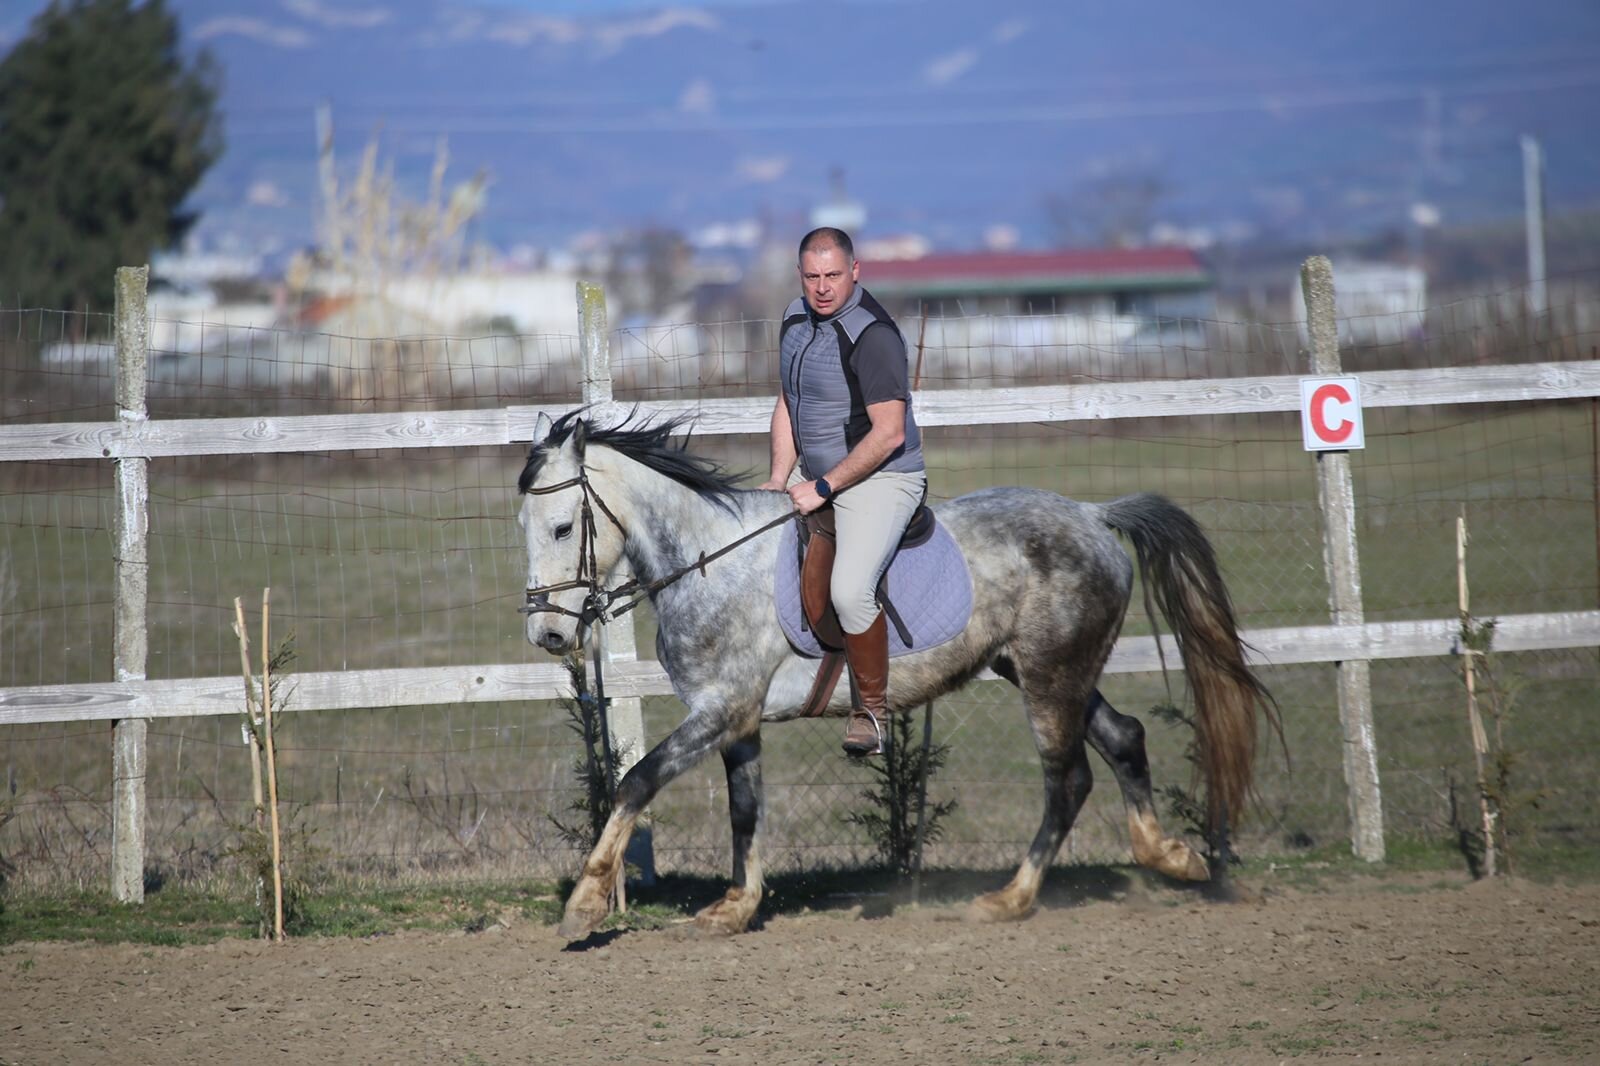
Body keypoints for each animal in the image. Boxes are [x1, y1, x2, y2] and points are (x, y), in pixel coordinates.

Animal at [518, 409, 1280, 934]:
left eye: (561, 527)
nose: (548, 633)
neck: (711, 561)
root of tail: (1093, 515)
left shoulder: (720, 712)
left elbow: (636, 781)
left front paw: (585, 904)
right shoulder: (734, 719)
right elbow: (745, 810)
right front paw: (736, 908)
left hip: (1048, 679)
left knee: (1068, 780)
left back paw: (1010, 898)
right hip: (1047, 671)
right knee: (1123, 740)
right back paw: (1172, 857)